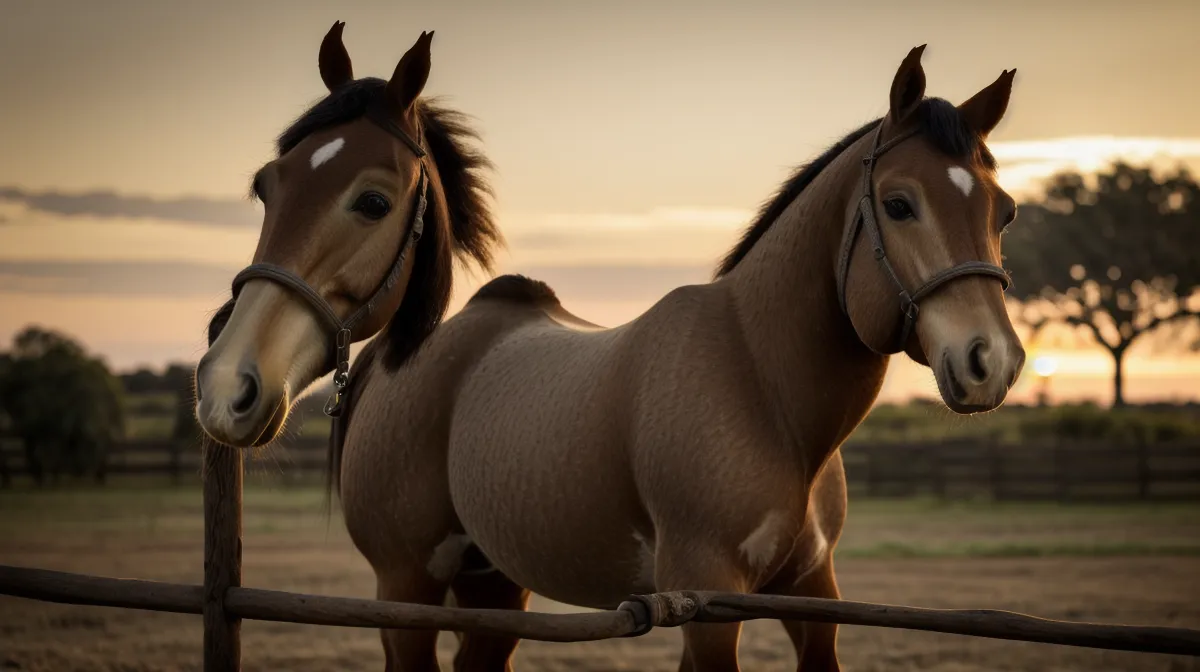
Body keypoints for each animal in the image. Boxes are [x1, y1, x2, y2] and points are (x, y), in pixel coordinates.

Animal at [329, 45, 1027, 671]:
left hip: (493, 584)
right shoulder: (707, 598)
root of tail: (399, 353)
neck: (761, 387)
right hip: (407, 588)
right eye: (899, 203)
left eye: (1005, 211)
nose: (989, 360)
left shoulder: (811, 595)